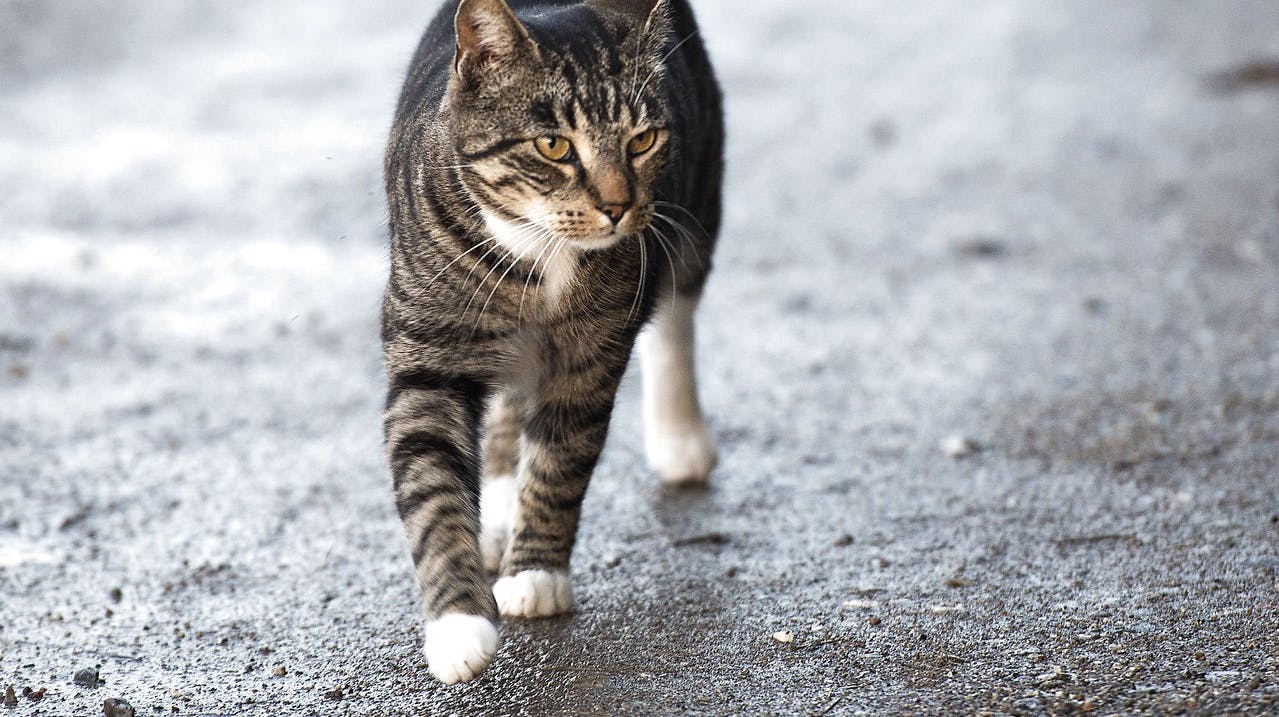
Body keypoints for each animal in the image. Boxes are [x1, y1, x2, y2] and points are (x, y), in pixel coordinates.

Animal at [376, 0, 721, 685]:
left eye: (641, 140)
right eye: (554, 146)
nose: (617, 206)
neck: (539, 254)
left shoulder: (590, 355)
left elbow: (560, 460)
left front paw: (535, 575)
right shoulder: (427, 354)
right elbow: (432, 486)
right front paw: (458, 629)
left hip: (697, 209)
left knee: (676, 316)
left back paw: (679, 439)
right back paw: (497, 508)